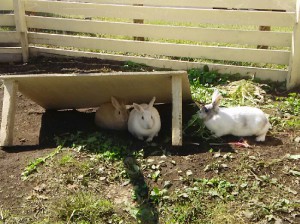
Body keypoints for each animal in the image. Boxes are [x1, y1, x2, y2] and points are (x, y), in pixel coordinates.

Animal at [0, 71, 191, 146]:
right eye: (142, 118)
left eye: (151, 117)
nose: (149, 126)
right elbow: (137, 135)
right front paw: (141, 139)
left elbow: (152, 135)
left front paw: (151, 138)